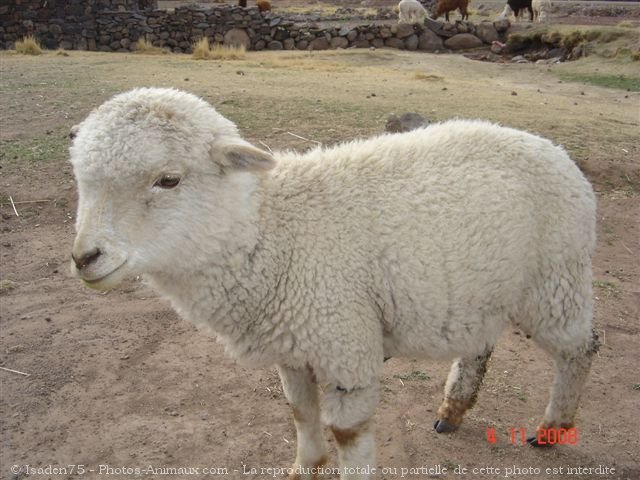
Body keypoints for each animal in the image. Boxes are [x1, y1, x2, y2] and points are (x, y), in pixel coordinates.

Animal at [70, 88, 600, 478]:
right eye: (81, 181)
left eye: (169, 180)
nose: (84, 258)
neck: (269, 230)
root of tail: (554, 149)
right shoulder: (293, 346)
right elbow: (300, 412)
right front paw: (305, 466)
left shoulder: (344, 344)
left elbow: (348, 433)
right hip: (483, 287)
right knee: (481, 346)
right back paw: (453, 409)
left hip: (556, 279)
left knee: (582, 347)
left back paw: (553, 426)